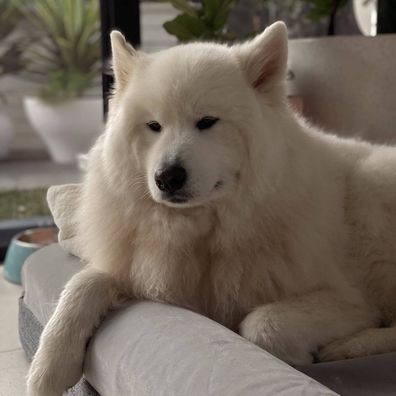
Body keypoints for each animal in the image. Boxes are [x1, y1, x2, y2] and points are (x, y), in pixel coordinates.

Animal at [27, 22, 396, 396]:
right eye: (154, 126)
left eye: (206, 122)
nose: (167, 177)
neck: (207, 230)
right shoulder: (141, 269)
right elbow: (84, 283)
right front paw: (49, 367)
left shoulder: (349, 300)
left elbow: (263, 324)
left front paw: (302, 353)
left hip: (373, 202)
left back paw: (350, 346)